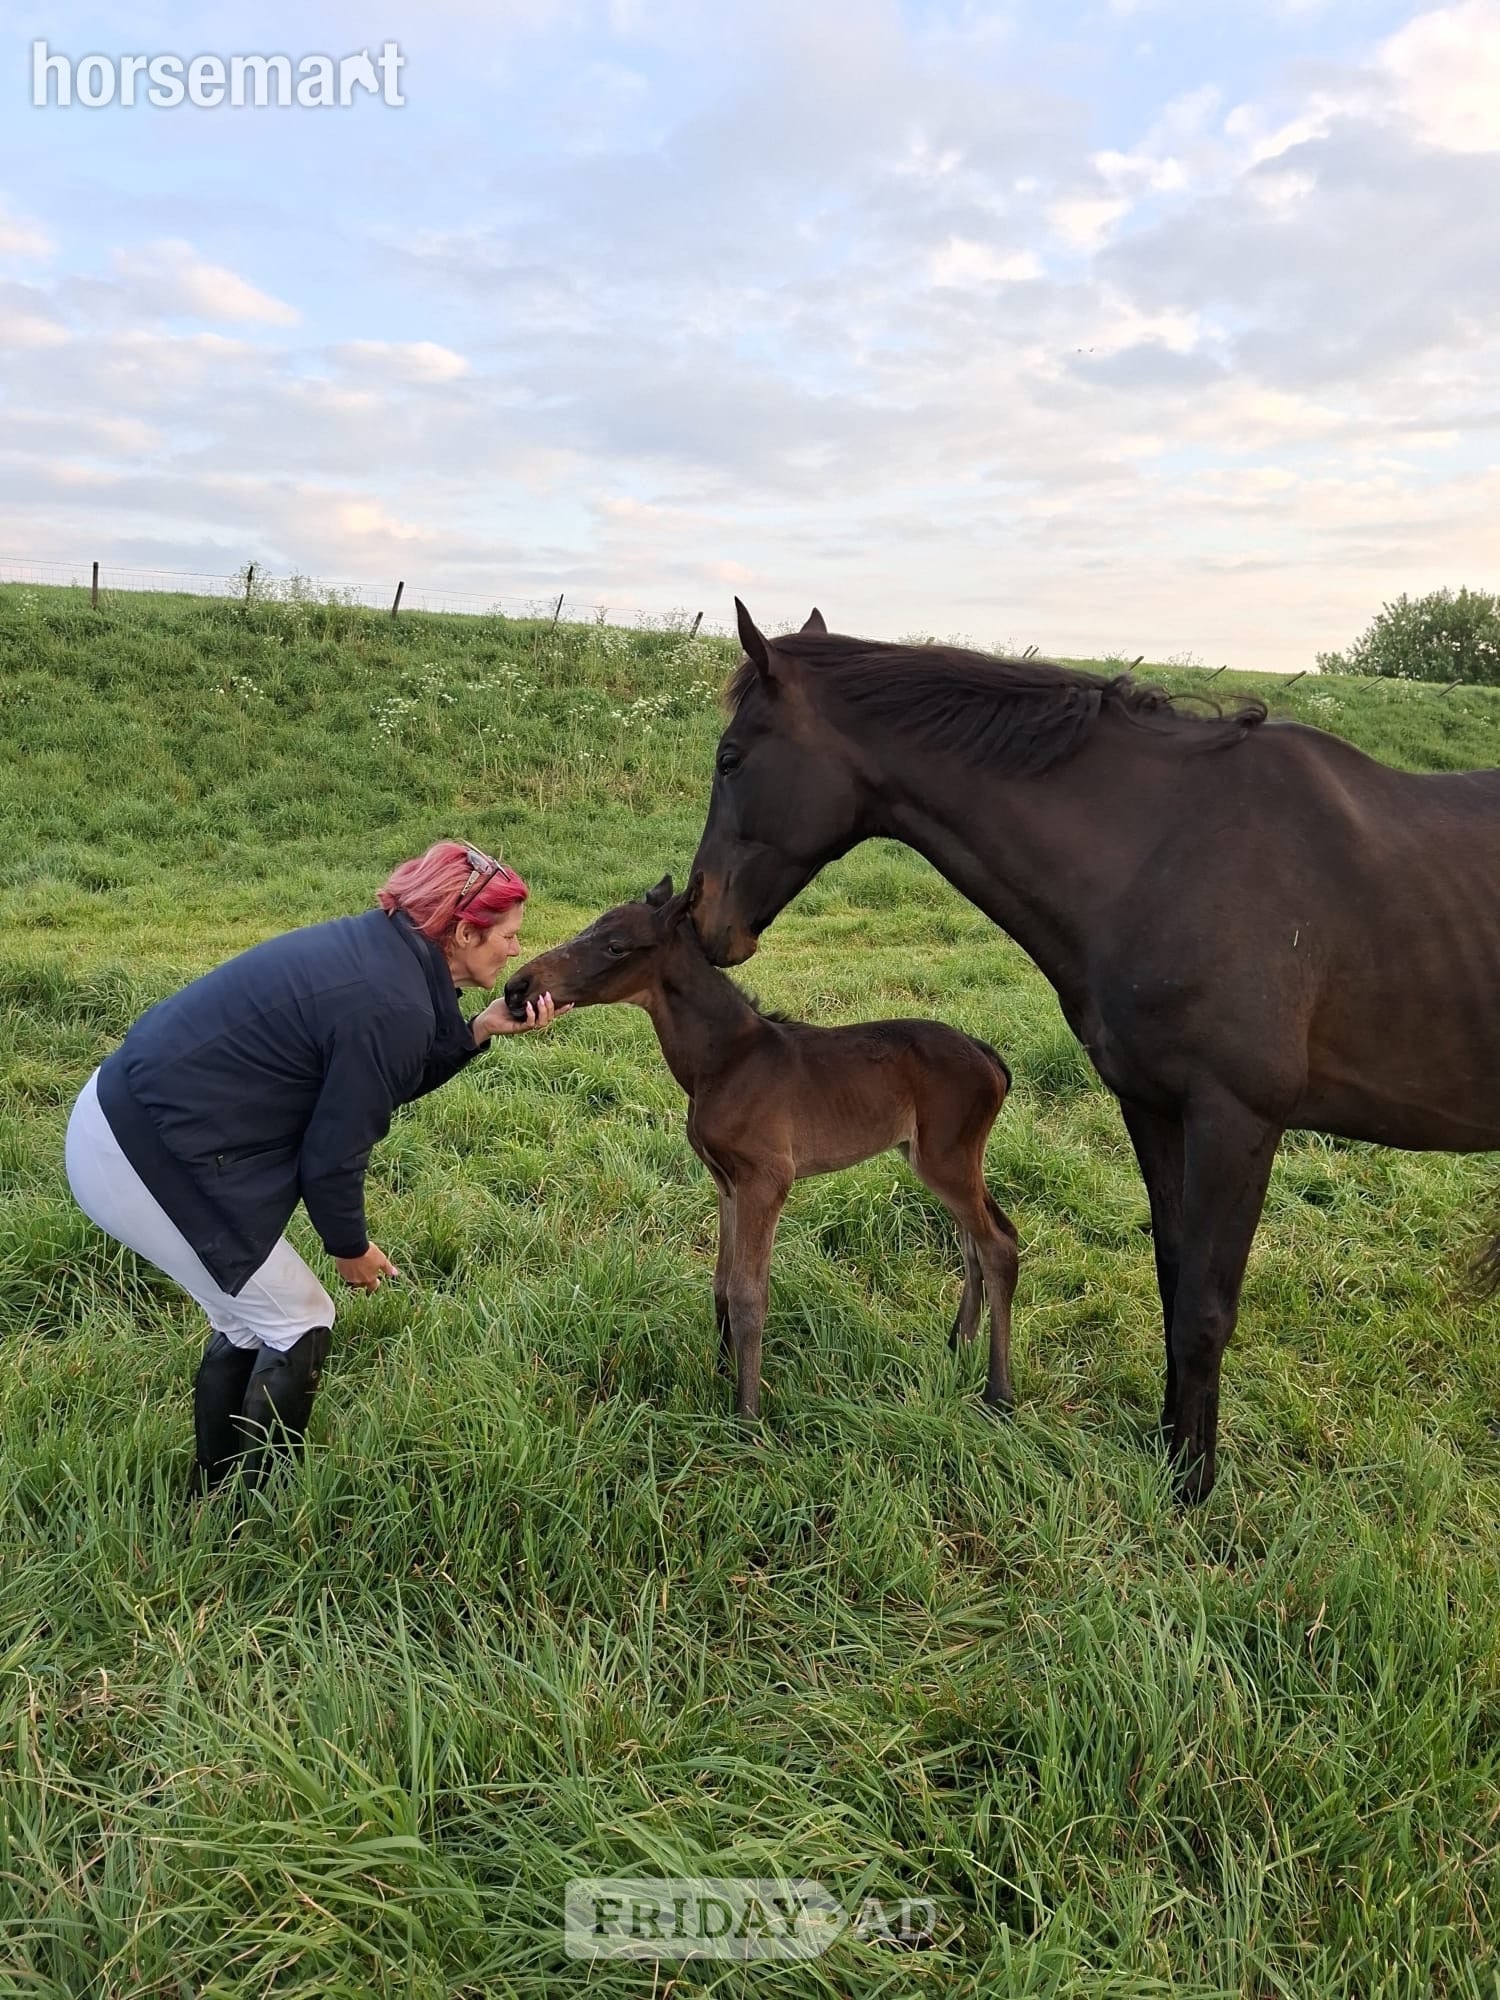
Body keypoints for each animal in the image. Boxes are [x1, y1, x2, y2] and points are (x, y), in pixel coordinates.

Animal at [505, 876, 1019, 1421]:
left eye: (616, 946)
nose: (517, 988)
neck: (725, 1060)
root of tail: (987, 1056)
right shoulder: (726, 1182)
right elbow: (721, 1284)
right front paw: (720, 1372)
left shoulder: (766, 1179)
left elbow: (749, 1294)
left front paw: (747, 1414)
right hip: (932, 1158)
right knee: (974, 1242)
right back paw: (957, 1346)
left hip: (947, 1159)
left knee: (997, 1246)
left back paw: (998, 1391)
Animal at [687, 600, 1500, 1502]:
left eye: (730, 758)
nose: (699, 915)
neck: (1163, 852)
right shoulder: (1154, 1108)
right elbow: (1175, 1281)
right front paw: (1171, 1449)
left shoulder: (1237, 1120)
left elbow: (1206, 1308)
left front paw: (1192, 1490)